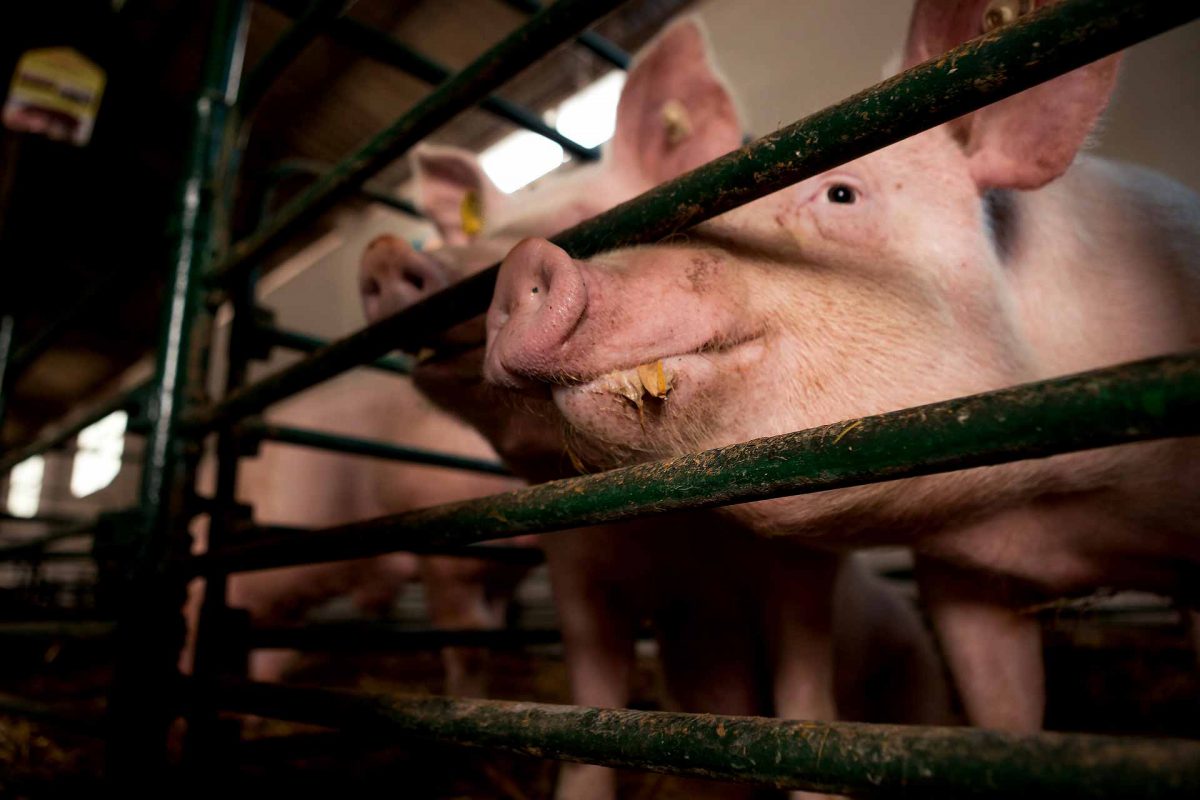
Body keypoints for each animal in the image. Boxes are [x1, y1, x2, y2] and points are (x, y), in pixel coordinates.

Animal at [364, 18, 955, 800]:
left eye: (595, 224)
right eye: (474, 233)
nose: (384, 252)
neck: (674, 538)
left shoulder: (798, 562)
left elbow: (805, 696)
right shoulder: (577, 571)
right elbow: (589, 710)